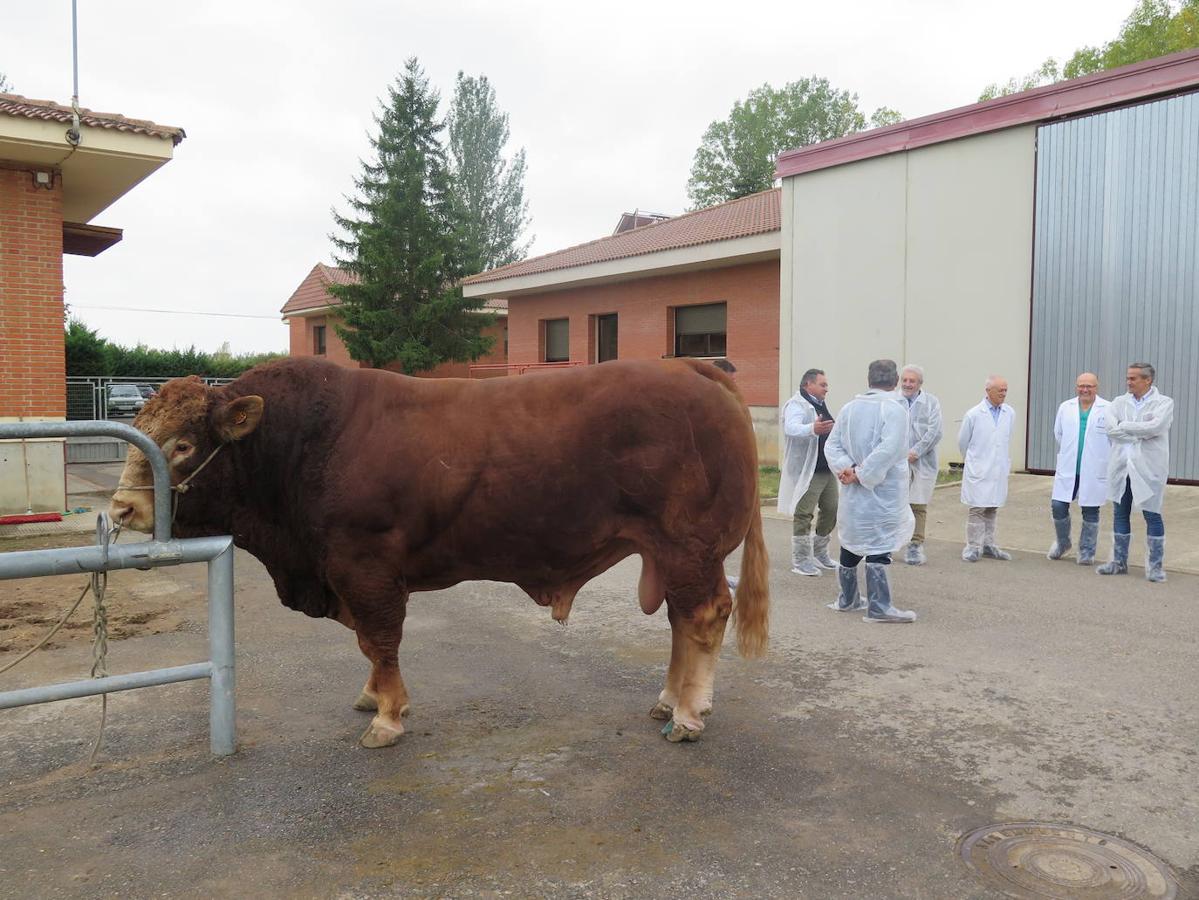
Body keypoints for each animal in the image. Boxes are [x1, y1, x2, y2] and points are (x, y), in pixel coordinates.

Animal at [110, 357, 767, 747]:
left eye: (184, 443)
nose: (121, 510)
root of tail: (690, 366)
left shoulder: (364, 564)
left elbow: (380, 637)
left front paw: (387, 715)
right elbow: (367, 644)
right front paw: (372, 695)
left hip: (689, 546)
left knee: (703, 617)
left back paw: (688, 714)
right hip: (675, 554)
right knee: (682, 620)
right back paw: (668, 701)